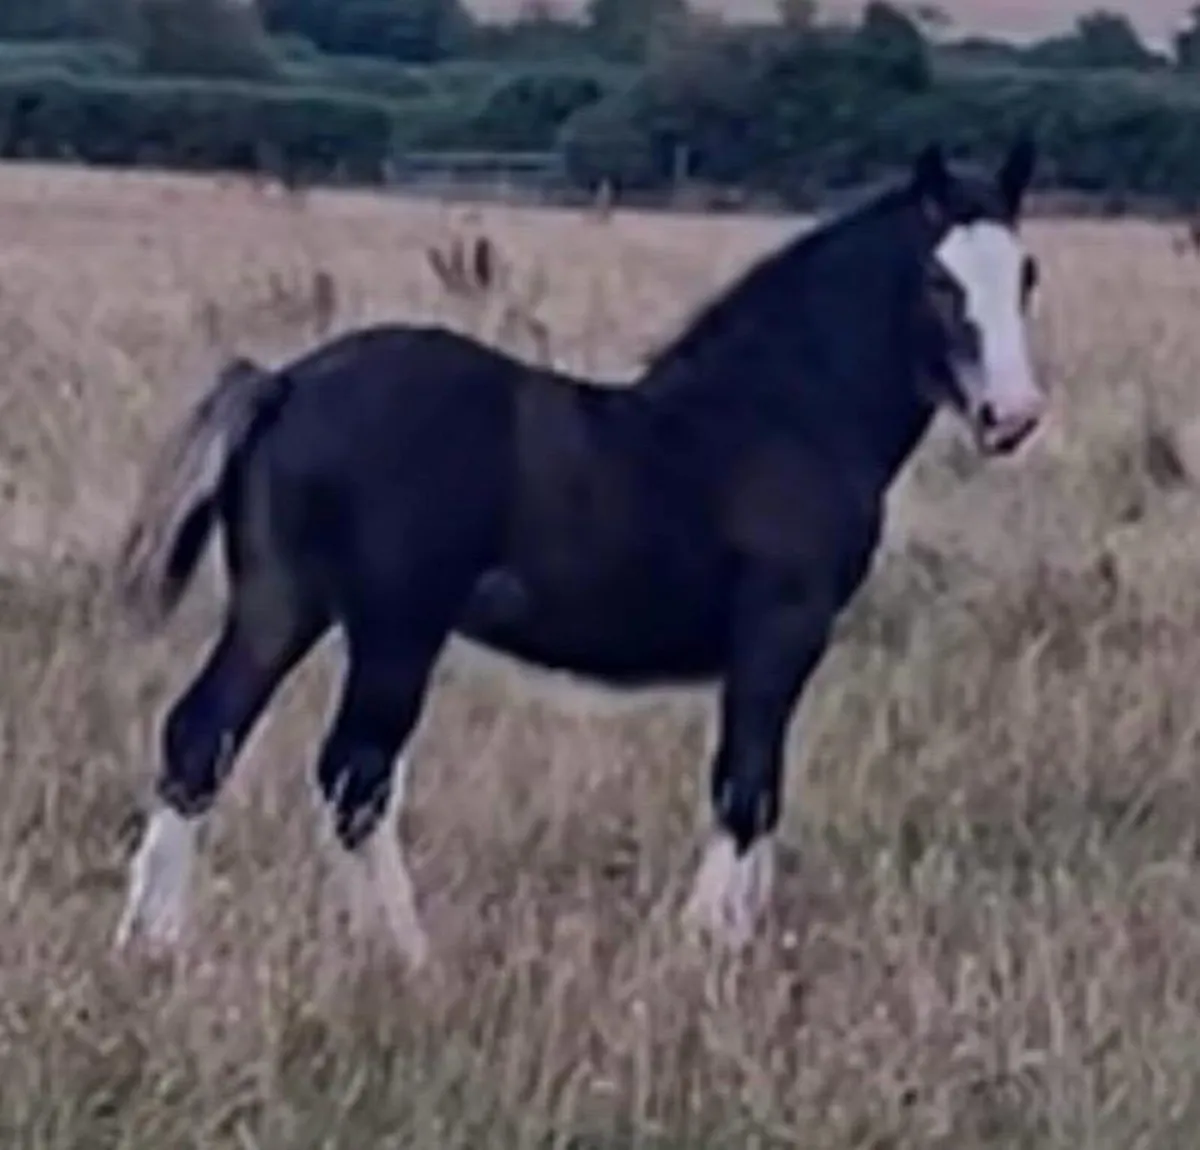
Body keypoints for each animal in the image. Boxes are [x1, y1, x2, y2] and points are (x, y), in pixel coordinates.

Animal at [112, 138, 1046, 965]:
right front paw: (706, 947)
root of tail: (286, 383)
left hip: (280, 603)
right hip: (396, 625)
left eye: (1027, 275)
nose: (1011, 416)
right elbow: (746, 785)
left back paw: (154, 942)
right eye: (939, 280)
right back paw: (409, 955)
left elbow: (761, 792)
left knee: (202, 738)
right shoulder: (781, 629)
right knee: (355, 772)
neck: (783, 418)